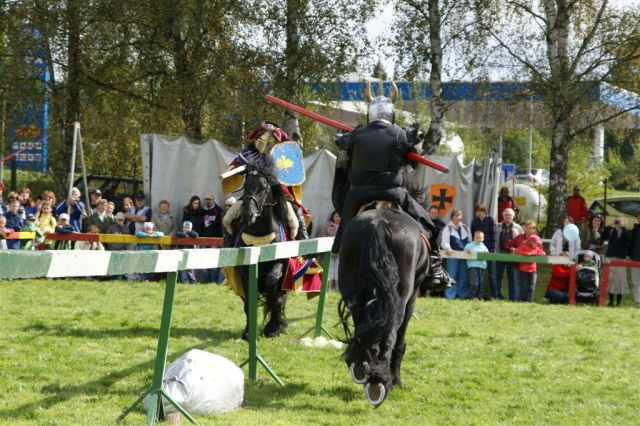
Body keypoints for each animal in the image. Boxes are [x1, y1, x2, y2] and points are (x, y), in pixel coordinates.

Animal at [232, 158, 292, 342]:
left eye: (264, 187)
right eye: (246, 185)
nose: (248, 214)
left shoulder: (280, 264)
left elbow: (274, 290)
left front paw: (274, 327)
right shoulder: (245, 271)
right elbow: (248, 303)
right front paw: (247, 333)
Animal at [340, 208, 430, 408]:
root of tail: (378, 223)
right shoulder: (412, 297)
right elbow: (400, 342)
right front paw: (396, 381)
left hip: (352, 290)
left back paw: (362, 366)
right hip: (401, 298)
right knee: (390, 336)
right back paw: (380, 381)